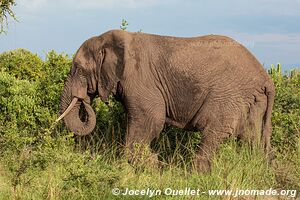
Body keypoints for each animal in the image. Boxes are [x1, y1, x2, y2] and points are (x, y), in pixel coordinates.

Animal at [55, 29, 274, 172]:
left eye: (78, 69)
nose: (84, 99)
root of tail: (266, 79)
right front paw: (154, 165)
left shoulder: (139, 79)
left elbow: (151, 119)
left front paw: (155, 167)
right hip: (253, 102)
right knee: (252, 140)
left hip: (228, 96)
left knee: (212, 133)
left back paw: (194, 176)